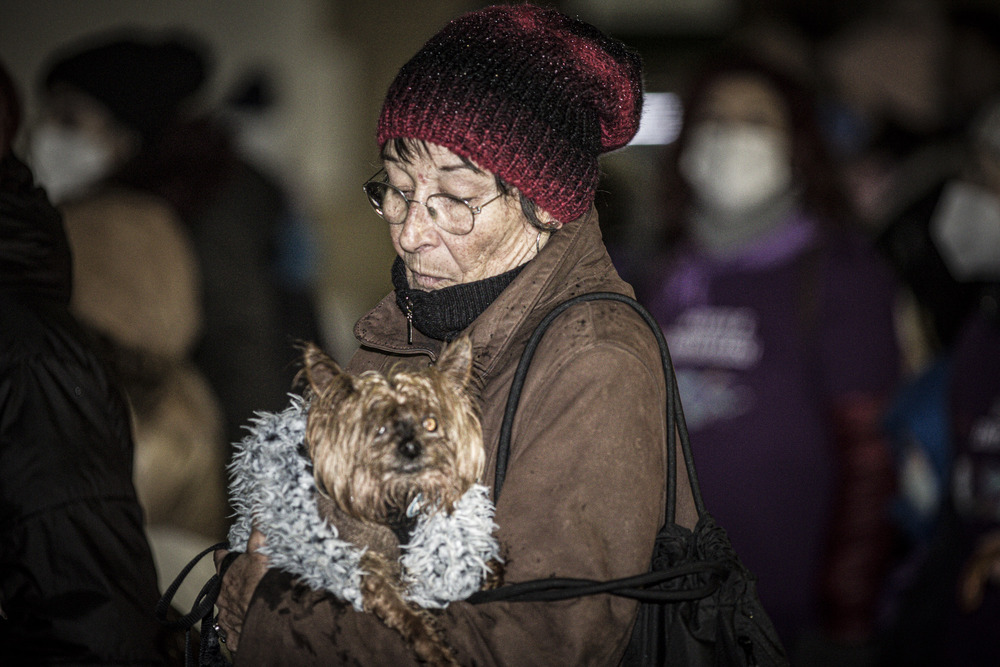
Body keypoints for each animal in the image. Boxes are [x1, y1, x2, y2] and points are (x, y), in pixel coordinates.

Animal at [300, 340, 496, 667]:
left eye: (430, 422)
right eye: (378, 429)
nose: (411, 446)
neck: (398, 500)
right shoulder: (367, 570)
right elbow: (403, 610)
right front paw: (433, 647)